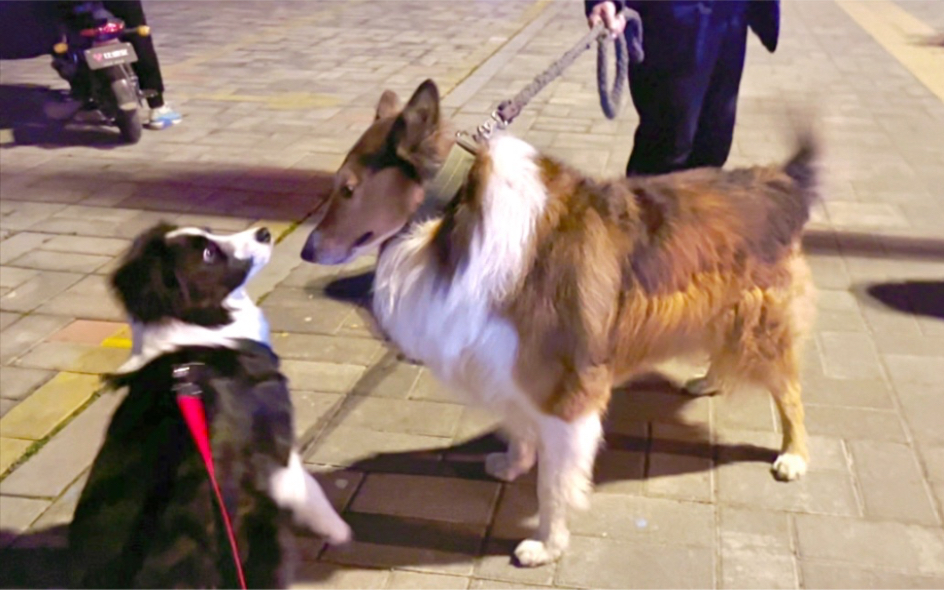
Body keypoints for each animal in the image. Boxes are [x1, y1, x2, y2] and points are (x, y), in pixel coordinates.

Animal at [69, 224, 350, 588]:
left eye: (210, 231)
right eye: (207, 254)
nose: (263, 231)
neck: (199, 329)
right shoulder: (279, 447)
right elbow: (310, 490)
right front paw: (340, 531)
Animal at [302, 81, 820, 568]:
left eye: (347, 188)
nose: (306, 251)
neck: (456, 218)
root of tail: (778, 180)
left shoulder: (566, 391)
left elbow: (554, 483)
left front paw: (547, 545)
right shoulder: (508, 363)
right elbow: (518, 425)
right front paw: (514, 463)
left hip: (762, 328)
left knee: (791, 394)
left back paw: (793, 455)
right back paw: (708, 381)